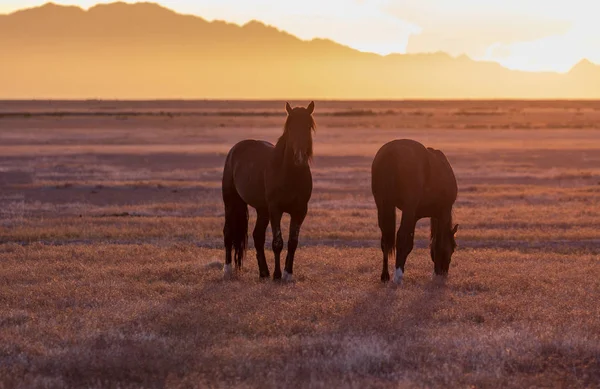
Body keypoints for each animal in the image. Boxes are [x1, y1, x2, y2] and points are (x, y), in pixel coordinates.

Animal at [219, 101, 314, 280]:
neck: (290, 173)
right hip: (231, 202)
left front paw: (288, 274)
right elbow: (278, 242)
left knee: (257, 236)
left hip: (262, 209)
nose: (299, 157)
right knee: (228, 232)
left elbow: (293, 242)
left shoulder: (300, 210)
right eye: (290, 127)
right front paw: (277, 275)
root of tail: (236, 148)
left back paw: (263, 272)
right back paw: (227, 269)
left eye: (308, 126)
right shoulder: (275, 209)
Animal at [370, 139, 460, 282]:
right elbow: (438, 242)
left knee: (385, 240)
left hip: (383, 205)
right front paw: (436, 273)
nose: (444, 272)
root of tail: (391, 152)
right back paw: (398, 276)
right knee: (400, 236)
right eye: (453, 248)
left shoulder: (415, 216)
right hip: (408, 208)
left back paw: (385, 276)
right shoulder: (443, 212)